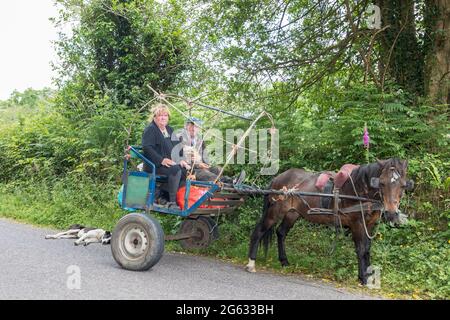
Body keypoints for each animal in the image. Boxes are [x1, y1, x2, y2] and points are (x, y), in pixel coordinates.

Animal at [246, 158, 414, 284]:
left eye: (403, 185)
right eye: (382, 183)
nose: (391, 213)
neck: (360, 191)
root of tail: (277, 178)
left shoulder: (370, 225)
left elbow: (367, 249)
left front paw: (366, 275)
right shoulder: (357, 224)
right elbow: (361, 249)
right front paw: (363, 278)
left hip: (292, 214)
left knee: (281, 233)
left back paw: (284, 261)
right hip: (275, 211)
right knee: (259, 231)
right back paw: (251, 263)